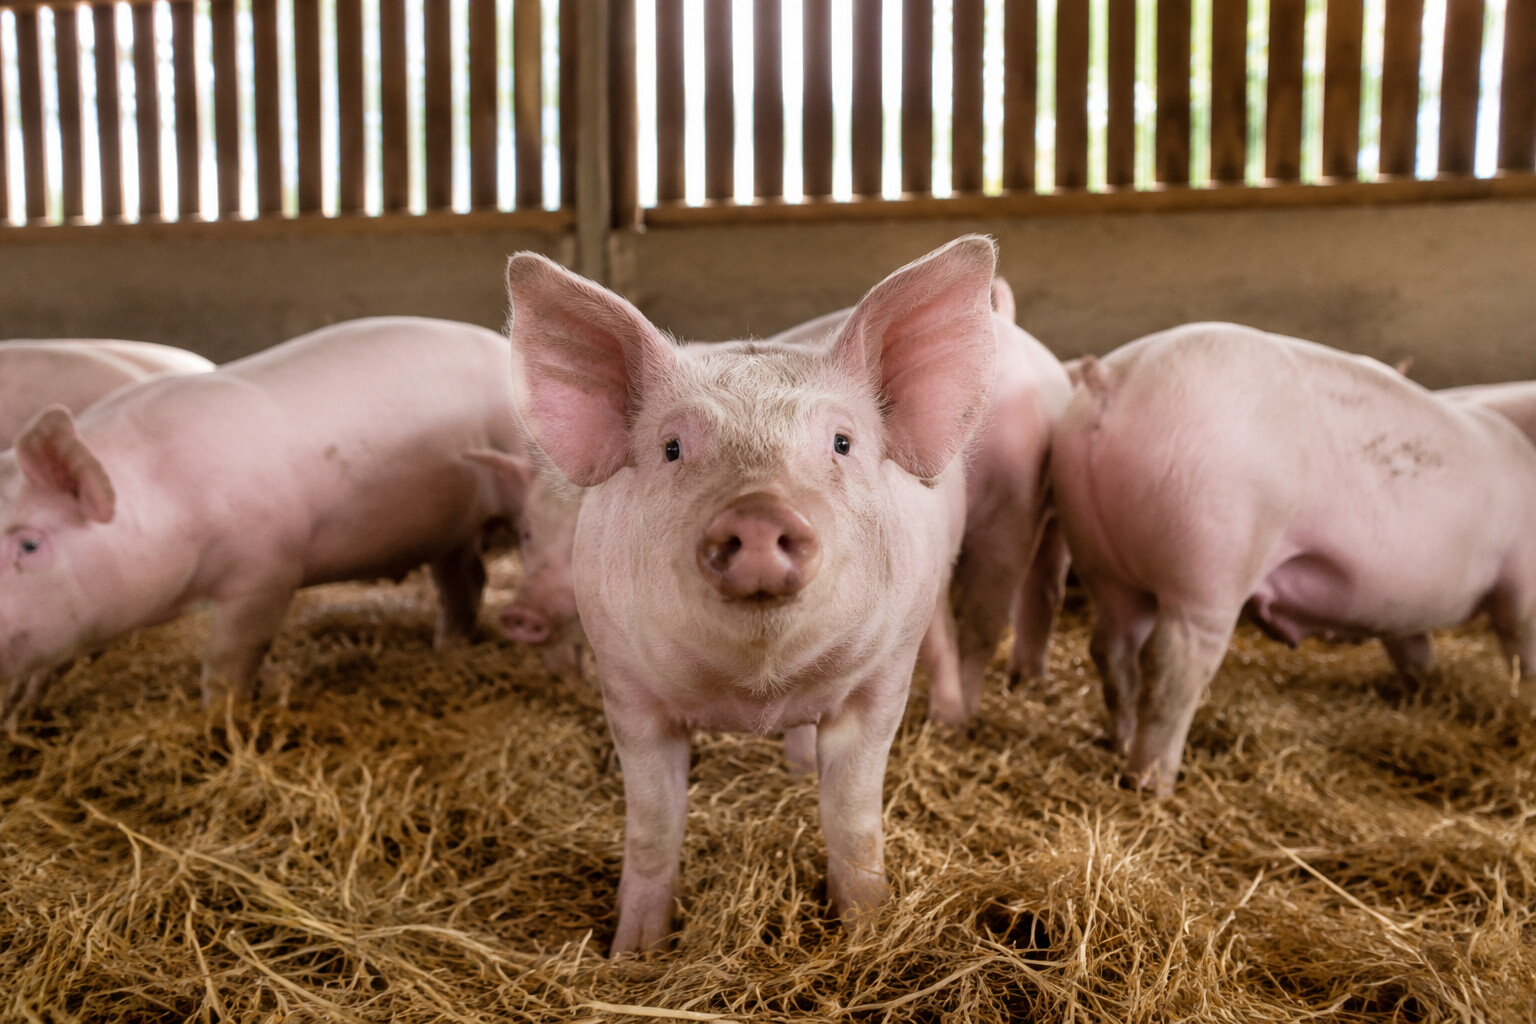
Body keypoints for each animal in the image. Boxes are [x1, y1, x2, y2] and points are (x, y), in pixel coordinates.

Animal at [505, 237, 997, 952]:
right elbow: (653, 830)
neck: (757, 687)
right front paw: (633, 953)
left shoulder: (880, 684)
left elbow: (853, 820)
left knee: (943, 641)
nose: (759, 512)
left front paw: (867, 934)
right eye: (672, 447)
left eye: (842, 442)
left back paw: (949, 722)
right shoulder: (625, 686)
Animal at [1050, 322, 1536, 796]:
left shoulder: (1404, 612)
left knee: (1112, 651)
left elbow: (1415, 650)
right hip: (1210, 556)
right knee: (1174, 664)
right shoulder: (1522, 581)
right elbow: (1519, 639)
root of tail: (1115, 378)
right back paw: (1154, 785)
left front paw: (1426, 689)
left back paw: (1122, 745)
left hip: (1100, 561)